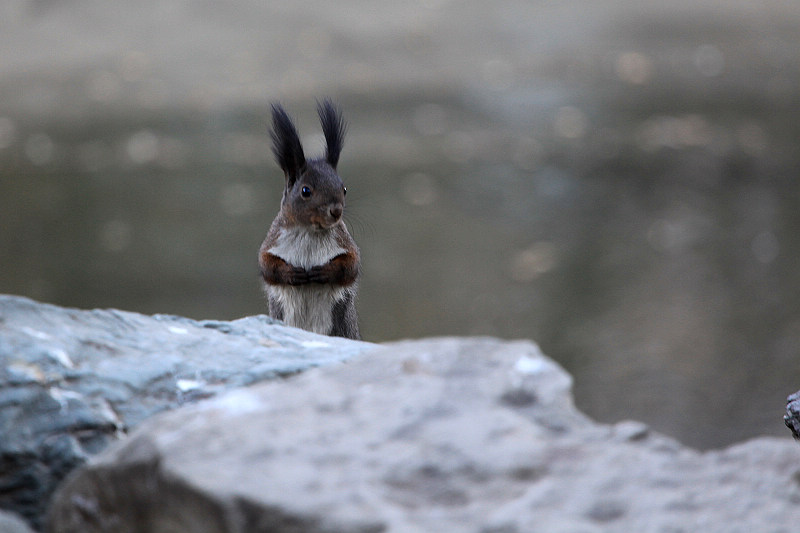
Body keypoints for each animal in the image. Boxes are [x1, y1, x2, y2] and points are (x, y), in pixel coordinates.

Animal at [258, 100, 360, 338]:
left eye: (344, 189)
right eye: (305, 191)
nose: (336, 211)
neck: (309, 231)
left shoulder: (344, 241)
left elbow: (351, 265)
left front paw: (324, 271)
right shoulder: (273, 239)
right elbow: (267, 265)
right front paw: (291, 273)